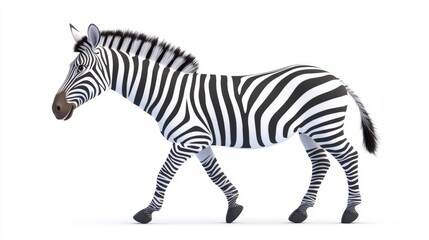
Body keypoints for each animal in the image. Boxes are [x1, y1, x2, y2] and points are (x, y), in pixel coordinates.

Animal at [51, 23, 376, 224]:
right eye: (70, 67)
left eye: (81, 69)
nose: (55, 109)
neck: (166, 92)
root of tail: (337, 78)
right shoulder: (199, 141)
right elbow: (214, 173)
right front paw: (234, 207)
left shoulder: (188, 139)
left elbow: (163, 173)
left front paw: (147, 212)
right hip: (310, 130)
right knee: (321, 163)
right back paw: (301, 211)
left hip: (326, 126)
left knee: (349, 157)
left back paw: (350, 211)